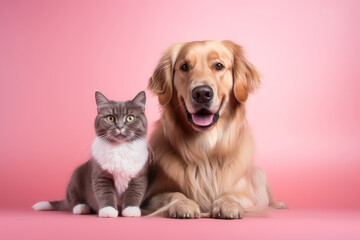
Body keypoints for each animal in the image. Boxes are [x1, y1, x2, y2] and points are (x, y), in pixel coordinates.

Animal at [32, 90, 148, 218]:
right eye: (110, 118)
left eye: (130, 118)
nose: (120, 127)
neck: (120, 147)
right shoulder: (100, 173)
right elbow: (105, 192)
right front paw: (108, 210)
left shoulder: (139, 174)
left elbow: (135, 191)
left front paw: (131, 210)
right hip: (76, 176)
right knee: (73, 199)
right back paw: (81, 208)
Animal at [145, 40, 286, 218]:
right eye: (184, 67)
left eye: (219, 66)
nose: (202, 93)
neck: (205, 144)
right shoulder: (152, 196)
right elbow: (174, 194)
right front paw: (183, 204)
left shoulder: (247, 196)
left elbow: (233, 194)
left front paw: (227, 204)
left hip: (259, 173)